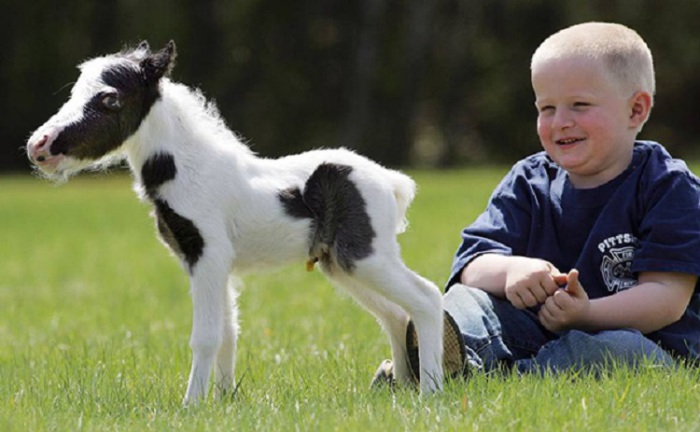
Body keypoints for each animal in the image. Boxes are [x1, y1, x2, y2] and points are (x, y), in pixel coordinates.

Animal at [27, 42, 446, 404]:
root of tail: (391, 181)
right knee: (395, 314)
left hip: (366, 256)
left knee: (426, 297)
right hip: (340, 263)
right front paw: (224, 400)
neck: (190, 169)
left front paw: (190, 405)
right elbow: (229, 332)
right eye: (74, 91)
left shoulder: (208, 255)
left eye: (110, 99)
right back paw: (404, 387)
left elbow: (207, 336)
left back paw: (431, 391)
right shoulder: (211, 263)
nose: (39, 146)